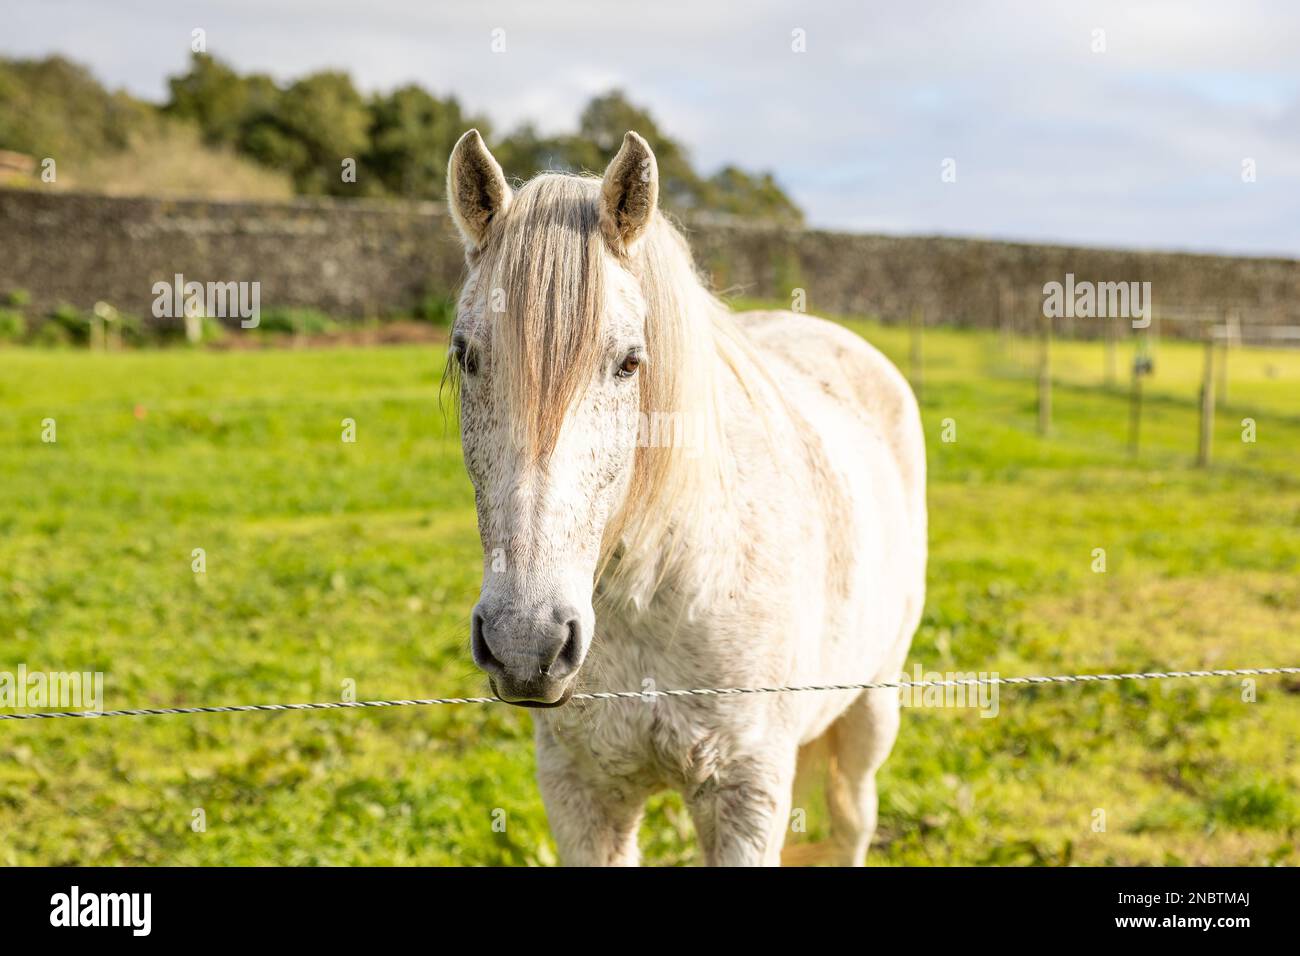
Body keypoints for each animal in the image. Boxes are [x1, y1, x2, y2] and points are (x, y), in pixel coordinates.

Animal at [444, 128, 925, 868]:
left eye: (629, 363)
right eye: (466, 355)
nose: (526, 641)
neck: (665, 587)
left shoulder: (745, 795)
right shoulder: (581, 792)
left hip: (871, 710)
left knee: (852, 823)